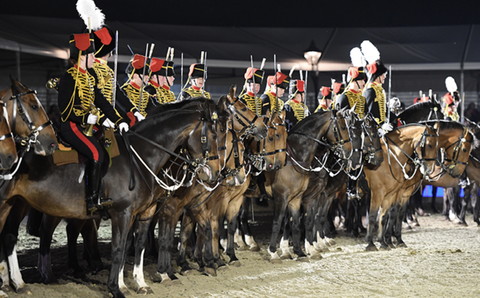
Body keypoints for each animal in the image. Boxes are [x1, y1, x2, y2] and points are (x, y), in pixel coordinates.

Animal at [0, 100, 225, 298]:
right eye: (213, 135)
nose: (215, 172)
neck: (140, 157)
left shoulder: (144, 212)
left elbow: (136, 246)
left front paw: (138, 284)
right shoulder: (123, 213)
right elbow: (119, 249)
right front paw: (116, 288)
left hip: (18, 202)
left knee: (9, 236)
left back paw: (16, 284)